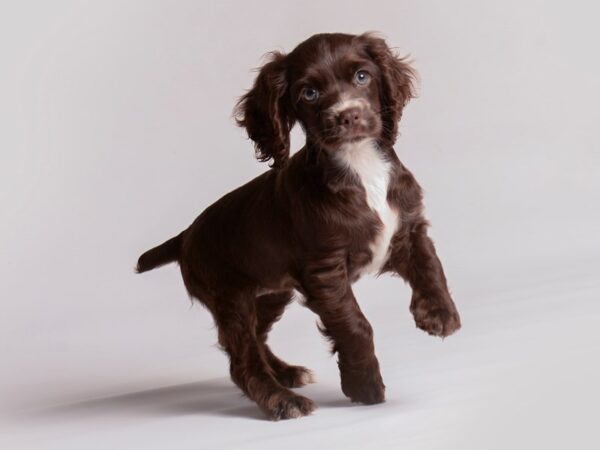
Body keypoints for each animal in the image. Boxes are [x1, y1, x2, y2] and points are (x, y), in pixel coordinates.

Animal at [138, 33, 462, 420]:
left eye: (362, 76)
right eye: (309, 93)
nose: (349, 115)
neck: (360, 164)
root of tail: (185, 235)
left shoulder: (408, 226)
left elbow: (430, 263)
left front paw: (439, 314)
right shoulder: (324, 270)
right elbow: (355, 325)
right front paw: (365, 386)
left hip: (270, 292)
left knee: (255, 338)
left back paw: (286, 372)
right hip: (229, 296)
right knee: (242, 359)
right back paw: (281, 399)